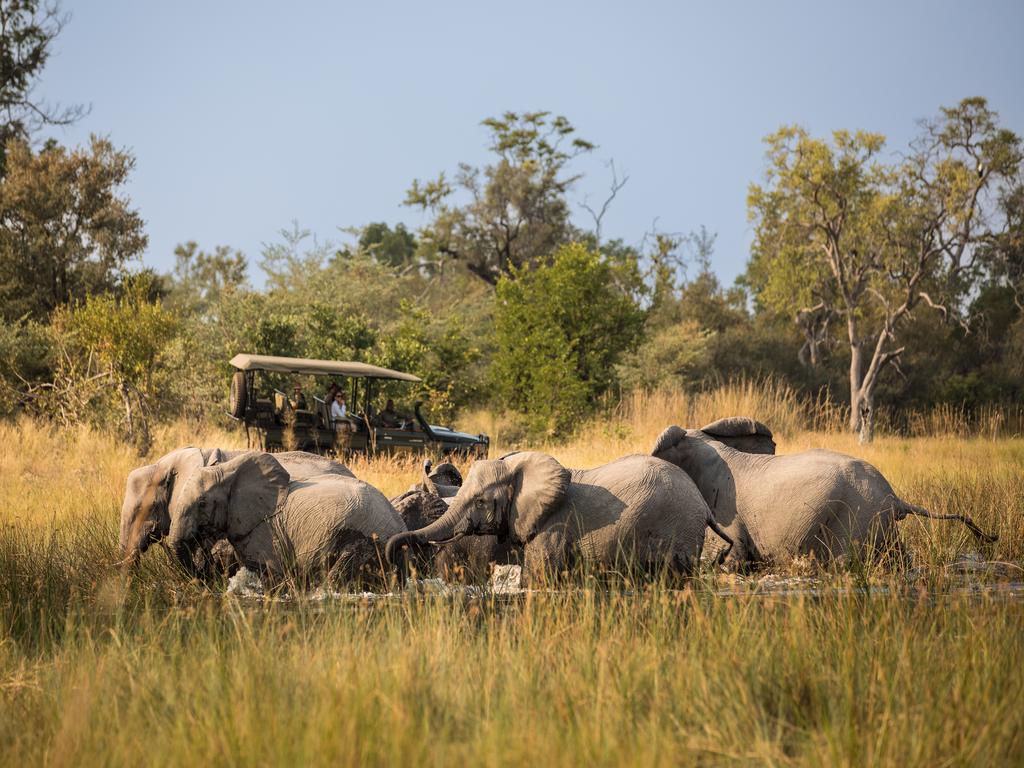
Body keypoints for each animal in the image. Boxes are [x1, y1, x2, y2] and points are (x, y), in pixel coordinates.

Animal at [387, 454, 733, 585]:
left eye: (480, 501)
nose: (393, 556)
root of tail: (704, 505)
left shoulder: (553, 525)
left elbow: (539, 576)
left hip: (678, 528)